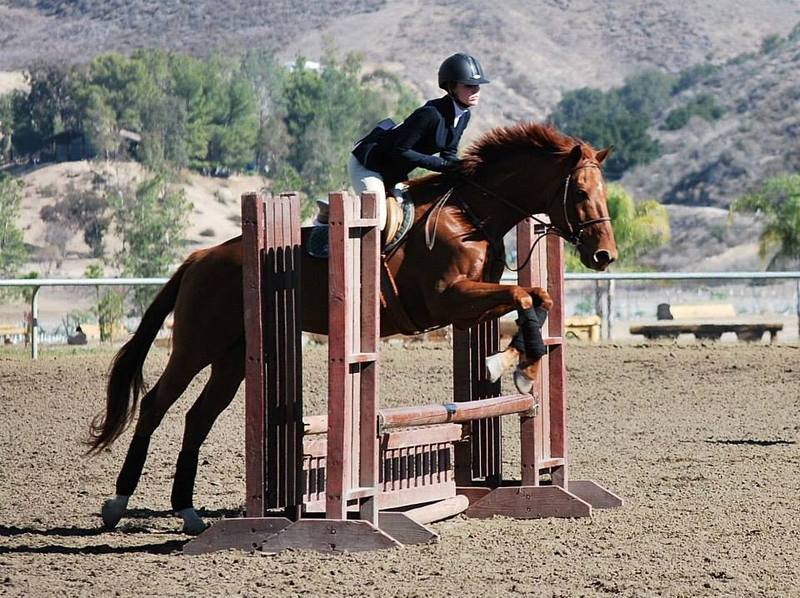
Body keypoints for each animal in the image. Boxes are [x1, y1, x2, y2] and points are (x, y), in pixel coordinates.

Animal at [92, 122, 620, 536]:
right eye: (579, 193)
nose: (604, 256)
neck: (471, 214)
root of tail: (199, 257)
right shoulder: (449, 298)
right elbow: (524, 297)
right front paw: (506, 365)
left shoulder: (469, 309)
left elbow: (537, 298)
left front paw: (518, 366)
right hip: (196, 344)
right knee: (156, 404)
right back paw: (117, 505)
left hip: (233, 357)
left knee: (197, 417)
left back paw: (188, 513)